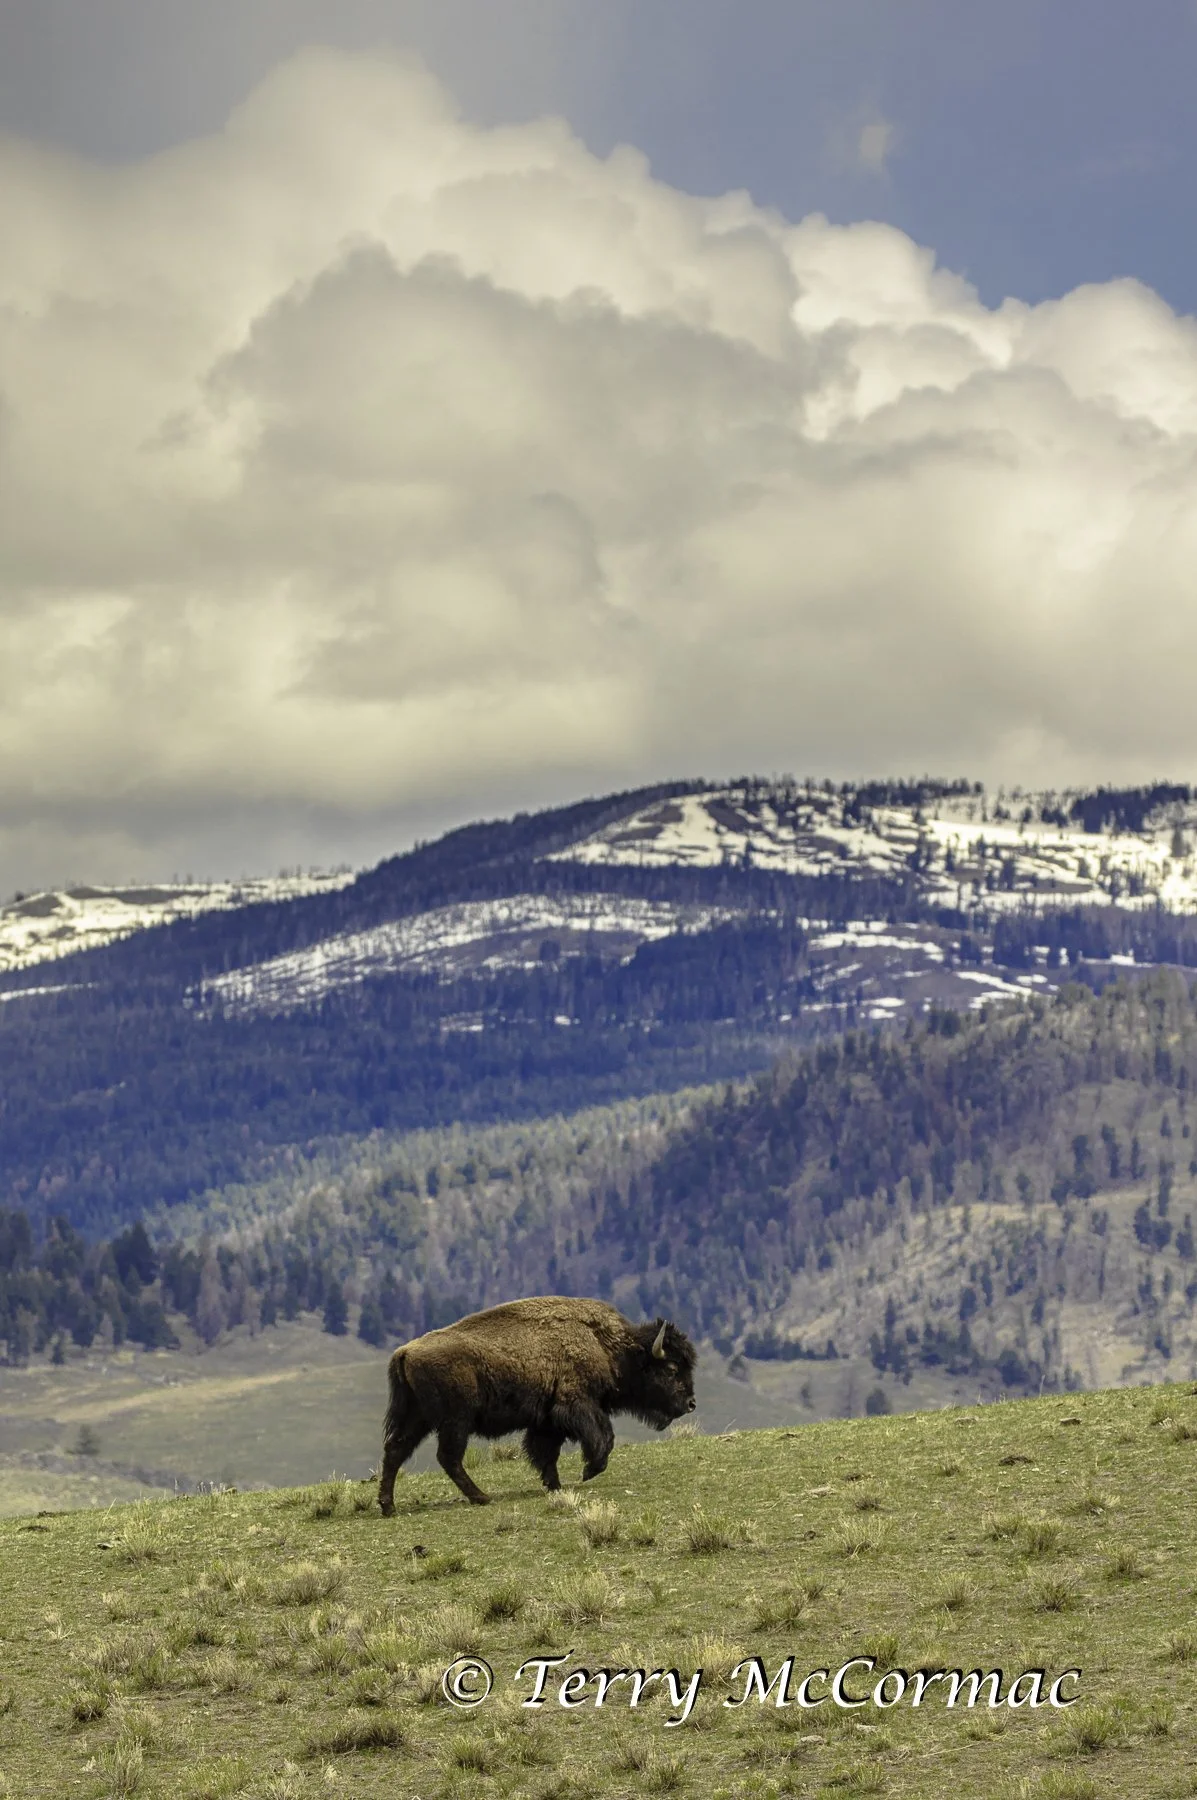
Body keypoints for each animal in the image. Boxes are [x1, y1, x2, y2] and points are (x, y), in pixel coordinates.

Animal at [377, 1295, 697, 1510]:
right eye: (671, 1368)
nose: (691, 1403)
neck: (605, 1343)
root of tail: (405, 1352)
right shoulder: (577, 1405)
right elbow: (602, 1437)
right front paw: (588, 1471)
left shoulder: (546, 1421)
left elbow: (546, 1453)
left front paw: (553, 1485)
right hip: (455, 1421)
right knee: (448, 1457)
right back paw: (482, 1497)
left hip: (419, 1418)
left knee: (396, 1450)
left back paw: (388, 1506)